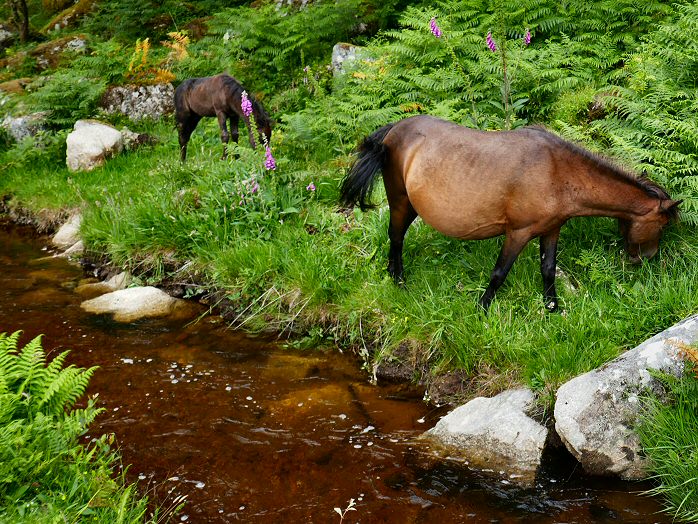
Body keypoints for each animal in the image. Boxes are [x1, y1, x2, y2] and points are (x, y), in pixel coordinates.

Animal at [340, 115, 676, 312]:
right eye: (661, 226)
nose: (645, 259)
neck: (558, 171)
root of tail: (394, 129)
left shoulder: (552, 228)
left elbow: (548, 269)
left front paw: (552, 307)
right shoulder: (518, 232)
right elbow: (499, 273)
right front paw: (482, 308)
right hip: (401, 201)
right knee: (396, 237)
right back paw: (398, 280)